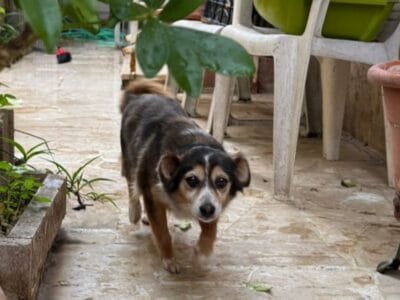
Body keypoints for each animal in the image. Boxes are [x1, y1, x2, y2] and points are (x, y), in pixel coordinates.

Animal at [119, 81, 250, 274]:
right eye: (191, 180)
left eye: (221, 182)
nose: (207, 209)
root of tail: (138, 96)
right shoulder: (152, 192)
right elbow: (162, 233)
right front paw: (169, 259)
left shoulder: (213, 204)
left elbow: (211, 229)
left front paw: (202, 252)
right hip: (130, 158)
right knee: (132, 185)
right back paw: (135, 211)